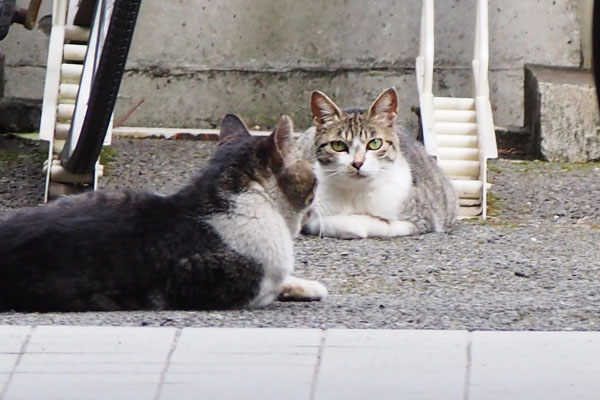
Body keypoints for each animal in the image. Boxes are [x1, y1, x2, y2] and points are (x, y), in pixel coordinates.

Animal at [298, 87, 458, 238]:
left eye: (375, 143)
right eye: (338, 145)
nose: (357, 163)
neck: (356, 192)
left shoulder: (421, 218)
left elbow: (385, 224)